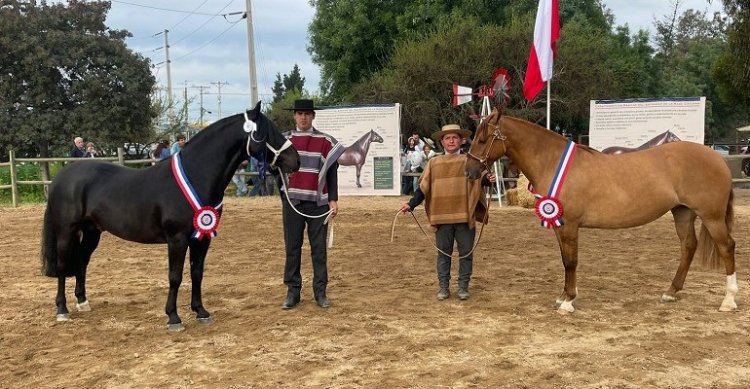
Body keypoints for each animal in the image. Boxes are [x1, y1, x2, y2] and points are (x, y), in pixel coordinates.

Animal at [40, 101, 300, 330]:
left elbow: (197, 273)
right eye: (266, 134)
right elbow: (175, 276)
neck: (196, 175)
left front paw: (201, 312)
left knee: (81, 261)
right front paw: (173, 317)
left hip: (92, 232)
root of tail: (61, 177)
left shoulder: (202, 238)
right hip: (66, 231)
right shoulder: (177, 239)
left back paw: (83, 302)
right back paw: (62, 310)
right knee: (63, 265)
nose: (295, 161)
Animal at [468, 107, 736, 314]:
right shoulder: (560, 224)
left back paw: (729, 300)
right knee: (688, 247)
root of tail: (717, 158)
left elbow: (571, 261)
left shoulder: (570, 225)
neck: (553, 162)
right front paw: (563, 296)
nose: (470, 170)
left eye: (482, 139)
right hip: (682, 212)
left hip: (711, 217)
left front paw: (568, 302)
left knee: (726, 247)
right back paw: (670, 292)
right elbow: (564, 259)